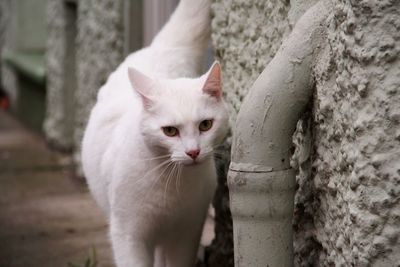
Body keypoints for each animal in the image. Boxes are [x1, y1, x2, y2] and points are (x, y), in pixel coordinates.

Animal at [81, 0, 228, 267]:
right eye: (170, 131)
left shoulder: (187, 234)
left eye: (205, 125)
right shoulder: (128, 235)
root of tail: (161, 48)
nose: (193, 151)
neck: (172, 186)